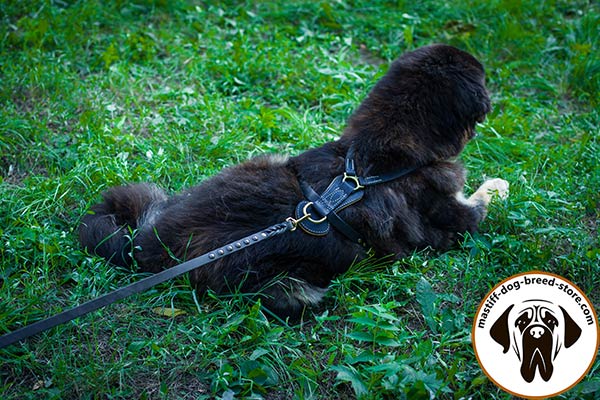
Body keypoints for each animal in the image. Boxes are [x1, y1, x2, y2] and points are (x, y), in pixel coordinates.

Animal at [79, 43, 508, 318]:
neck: (377, 155)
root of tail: (147, 245)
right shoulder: (457, 221)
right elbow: (485, 196)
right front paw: (501, 183)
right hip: (291, 288)